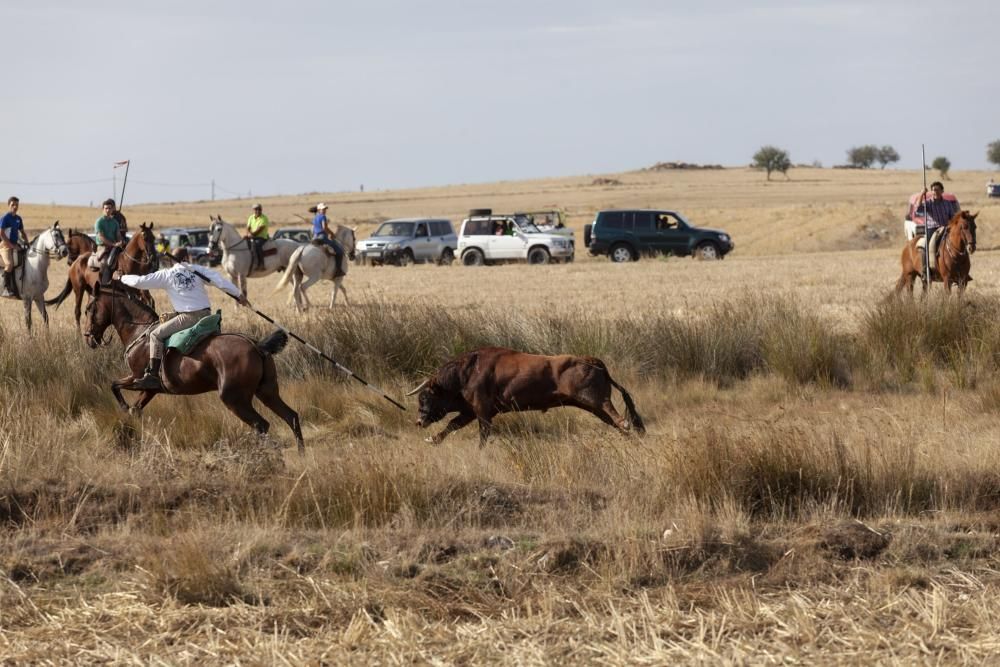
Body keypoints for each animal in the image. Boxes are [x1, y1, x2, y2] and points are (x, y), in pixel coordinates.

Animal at [82, 282, 304, 454]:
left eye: (89, 308)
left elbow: (116, 388)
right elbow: (132, 406)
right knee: (291, 416)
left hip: (235, 398)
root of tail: (257, 346)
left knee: (262, 424)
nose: (89, 338)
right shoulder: (149, 388)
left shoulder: (139, 380)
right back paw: (300, 455)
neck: (140, 332)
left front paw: (123, 409)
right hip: (267, 392)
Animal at [408, 348, 648, 446]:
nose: (419, 421)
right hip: (592, 407)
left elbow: (482, 434)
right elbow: (451, 425)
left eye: (425, 398)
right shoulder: (469, 412)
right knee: (614, 422)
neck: (466, 373)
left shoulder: (482, 412)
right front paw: (433, 440)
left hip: (593, 400)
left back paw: (627, 429)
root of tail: (593, 361)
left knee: (617, 417)